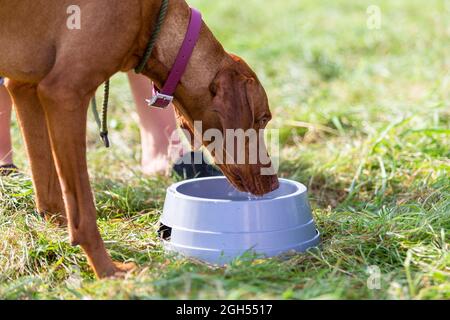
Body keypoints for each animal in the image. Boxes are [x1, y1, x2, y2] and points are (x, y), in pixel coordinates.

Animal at [0, 0, 278, 278]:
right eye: (263, 118)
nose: (274, 183)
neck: (151, 17)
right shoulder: (64, 94)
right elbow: (84, 212)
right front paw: (109, 271)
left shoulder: (24, 87)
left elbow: (49, 191)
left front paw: (55, 235)